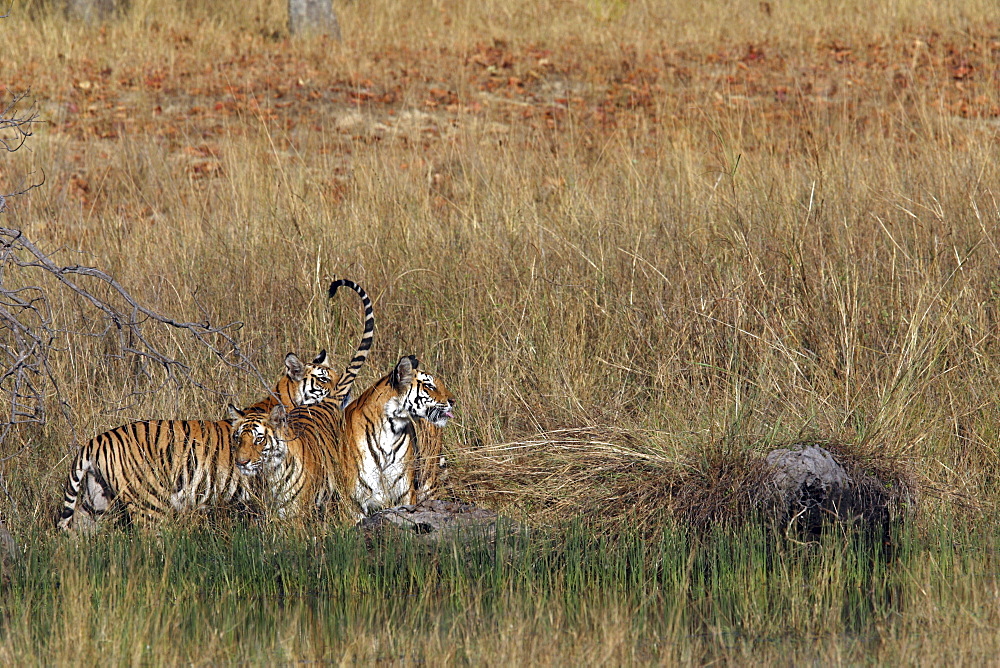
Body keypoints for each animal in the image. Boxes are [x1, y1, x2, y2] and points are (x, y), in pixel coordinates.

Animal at [55, 278, 376, 532]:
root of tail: (95, 441)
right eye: (323, 379)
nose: (345, 395)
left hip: (94, 502)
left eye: (335, 376)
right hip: (149, 504)